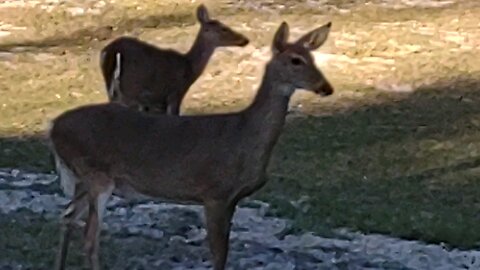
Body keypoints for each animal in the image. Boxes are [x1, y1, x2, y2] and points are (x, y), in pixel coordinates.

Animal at [49, 21, 334, 270]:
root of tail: (53, 128)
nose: (326, 87)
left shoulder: (231, 199)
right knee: (90, 237)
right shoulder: (215, 194)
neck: (244, 135)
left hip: (84, 180)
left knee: (67, 216)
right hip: (97, 175)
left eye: (313, 58)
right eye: (295, 60)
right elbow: (219, 256)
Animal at [101, 4, 251, 114]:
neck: (189, 69)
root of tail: (112, 52)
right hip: (131, 88)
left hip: (114, 92)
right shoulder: (175, 93)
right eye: (223, 28)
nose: (245, 39)